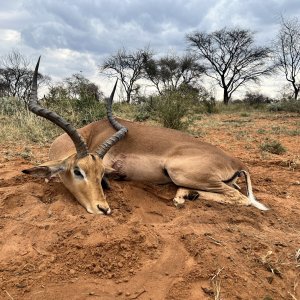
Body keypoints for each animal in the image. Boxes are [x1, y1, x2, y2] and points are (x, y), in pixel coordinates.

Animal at [22, 58, 268, 213]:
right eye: (77, 171)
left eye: (99, 173)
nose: (103, 208)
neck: (92, 132)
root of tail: (237, 162)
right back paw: (187, 196)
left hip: (180, 173)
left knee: (241, 198)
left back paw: (185, 197)